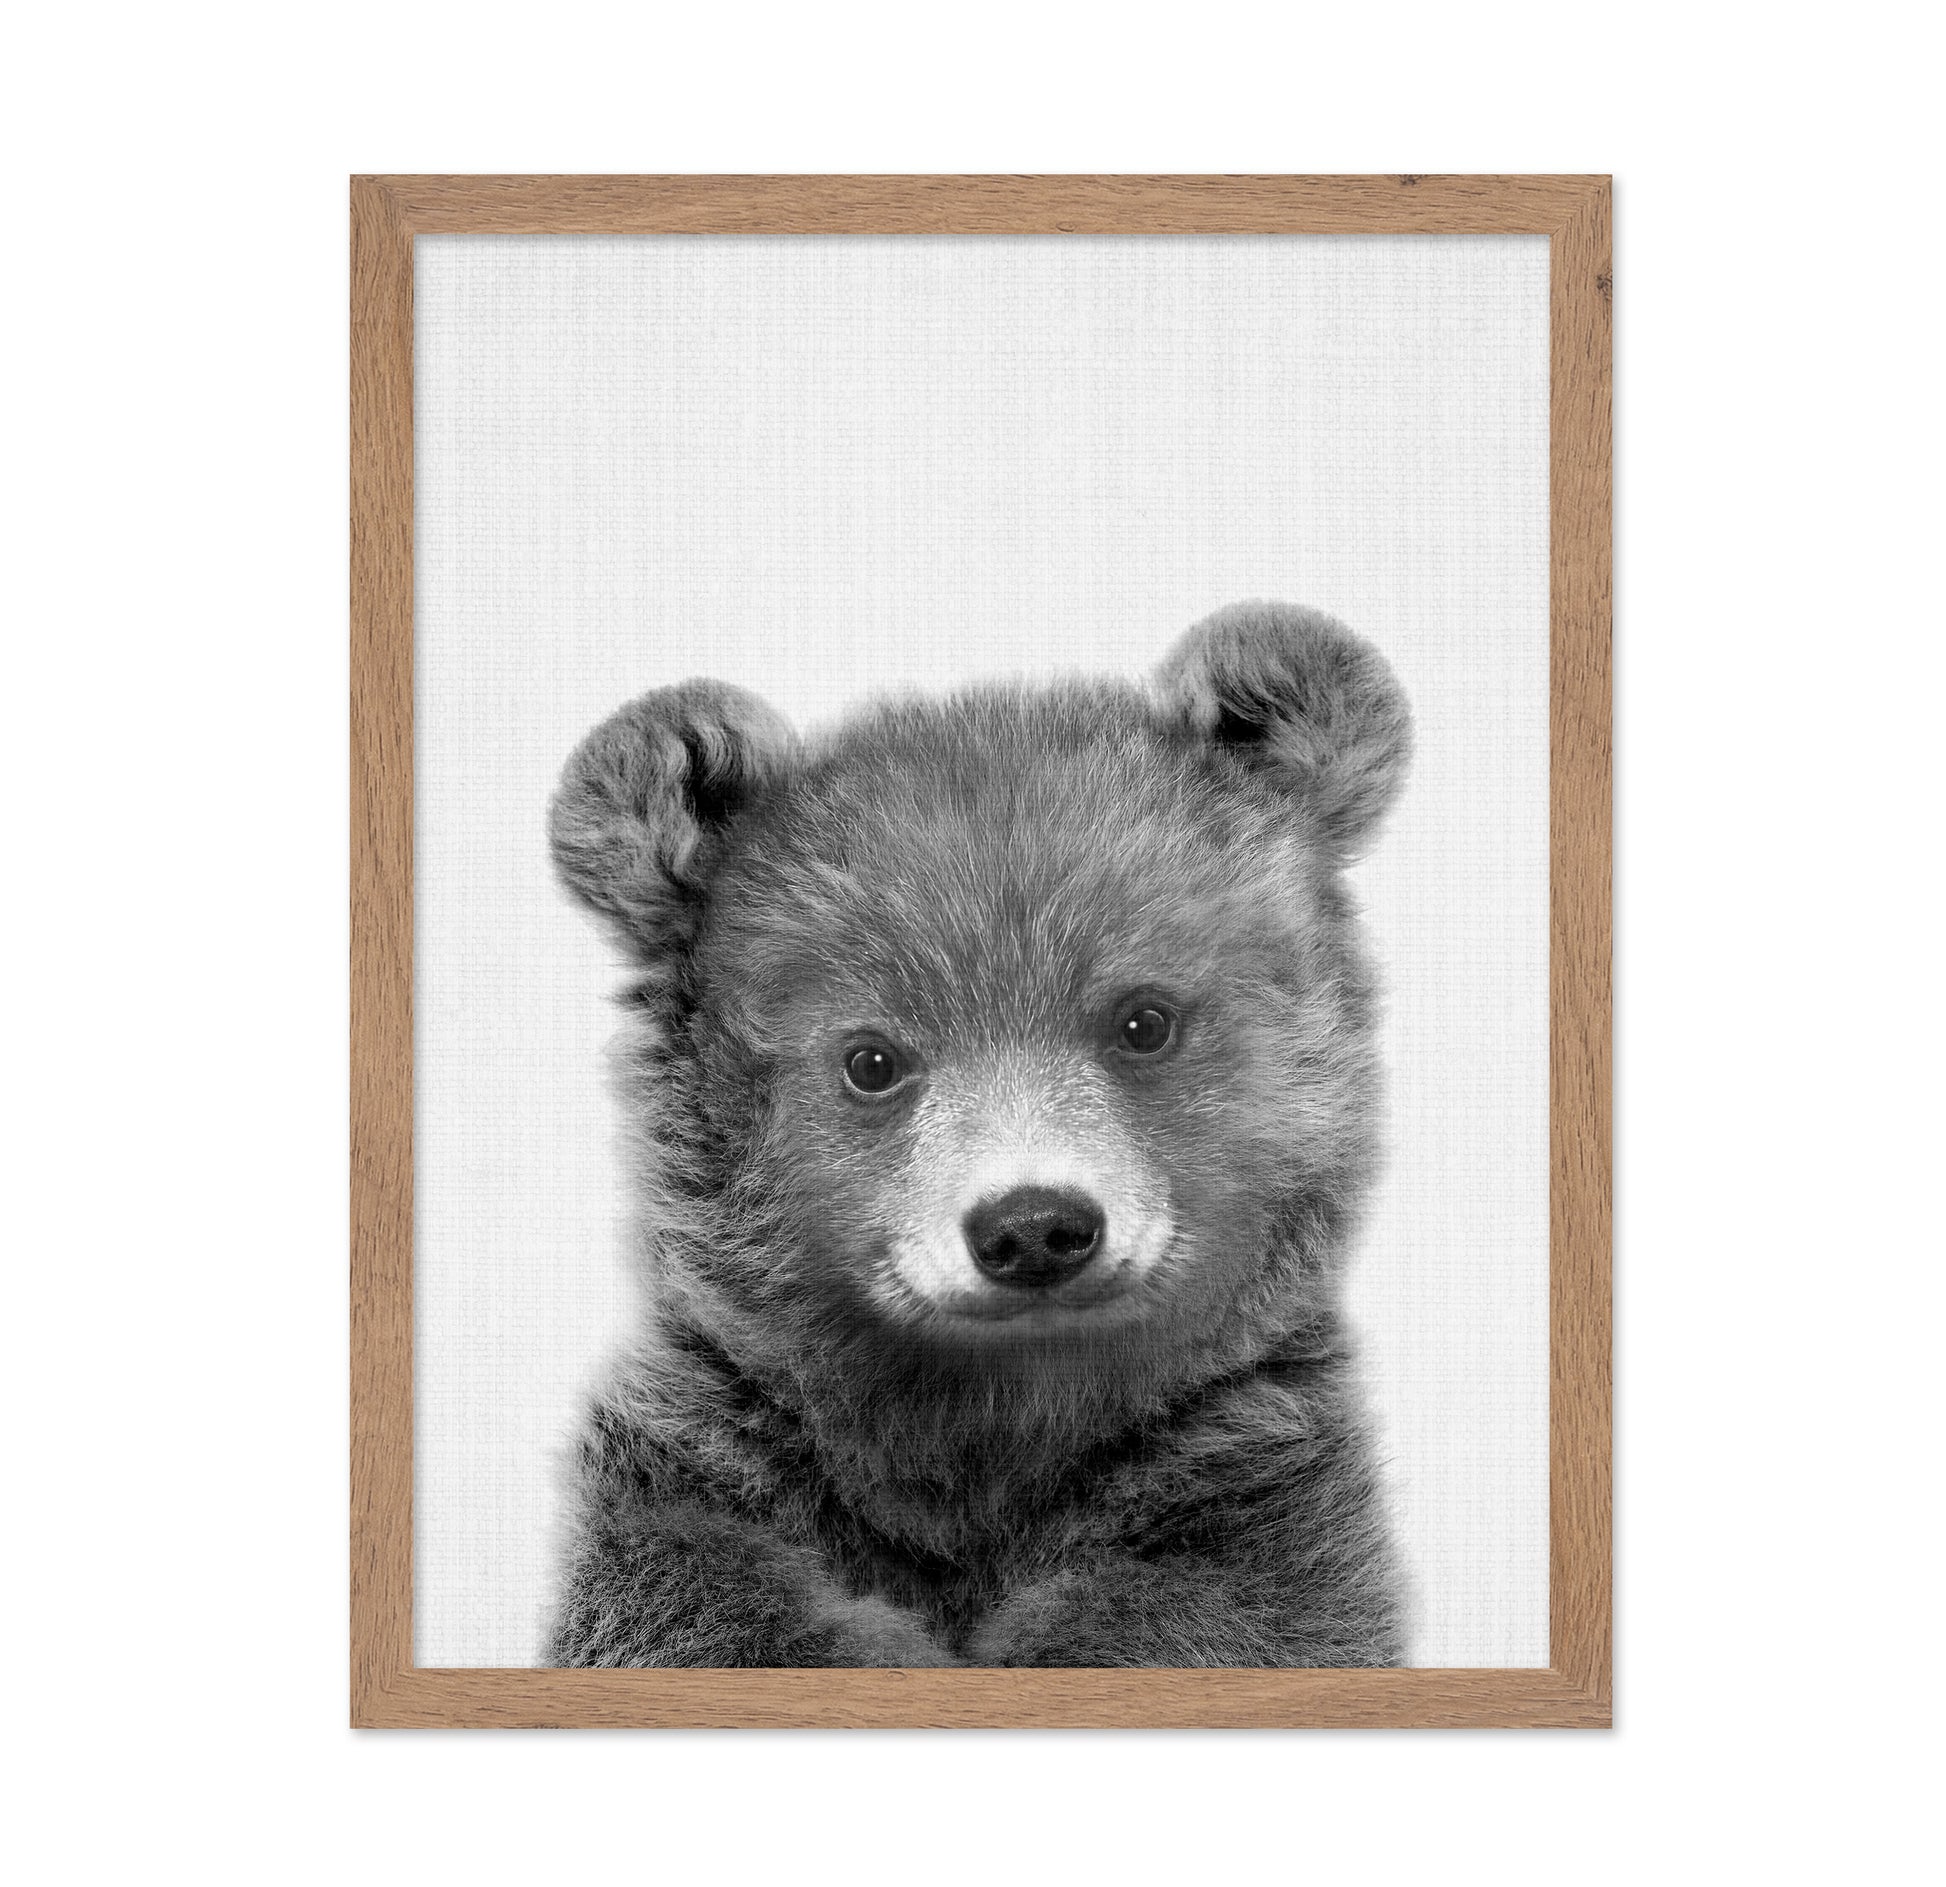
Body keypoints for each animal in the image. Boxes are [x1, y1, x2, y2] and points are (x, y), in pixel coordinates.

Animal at [545, 600, 1413, 1668]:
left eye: (1144, 1019)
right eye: (871, 1059)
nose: (1033, 1226)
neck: (992, 1431)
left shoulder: (1247, 1493)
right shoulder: (714, 1473)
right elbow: (703, 1600)